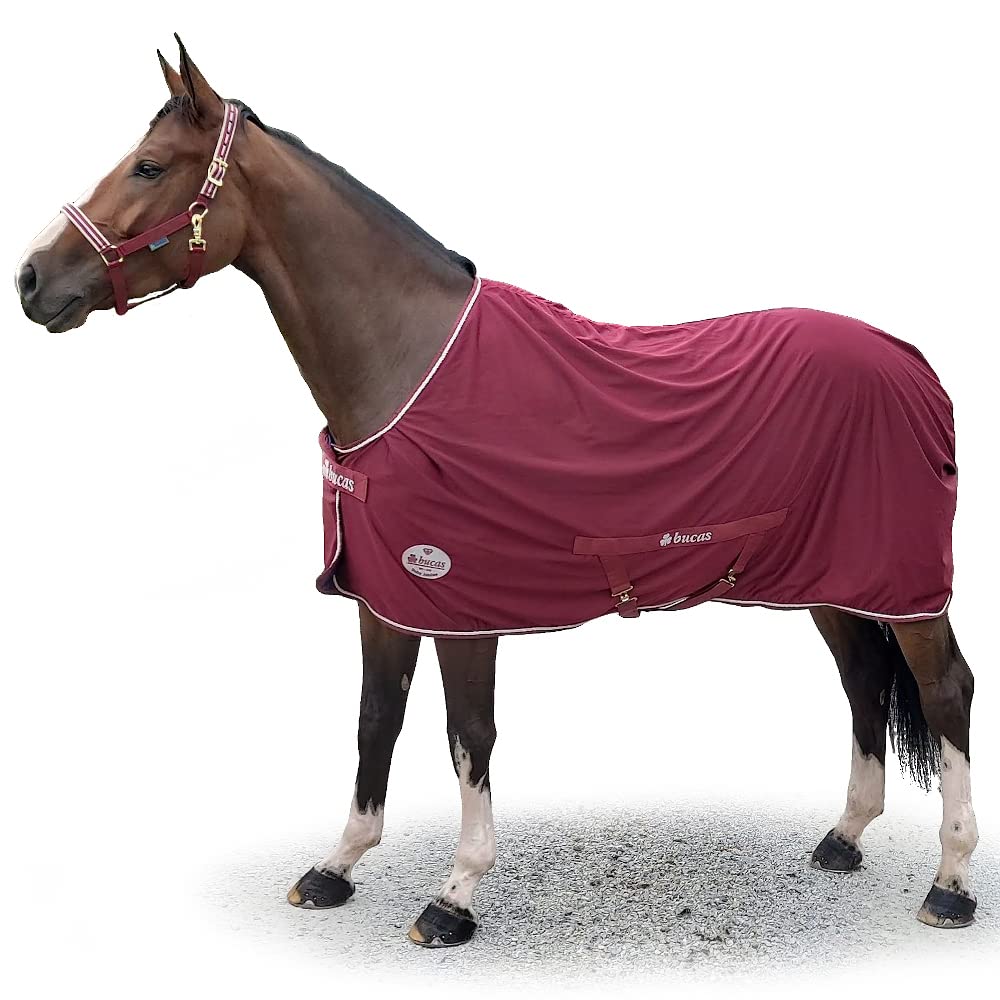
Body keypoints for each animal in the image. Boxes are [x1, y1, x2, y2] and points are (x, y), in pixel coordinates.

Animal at [15, 37, 979, 948]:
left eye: (149, 166)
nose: (31, 281)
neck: (407, 367)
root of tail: (912, 362)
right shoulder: (385, 597)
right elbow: (375, 721)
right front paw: (336, 867)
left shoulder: (461, 603)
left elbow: (466, 736)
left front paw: (454, 898)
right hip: (835, 582)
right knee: (862, 682)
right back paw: (845, 838)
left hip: (905, 589)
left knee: (945, 692)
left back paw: (951, 884)